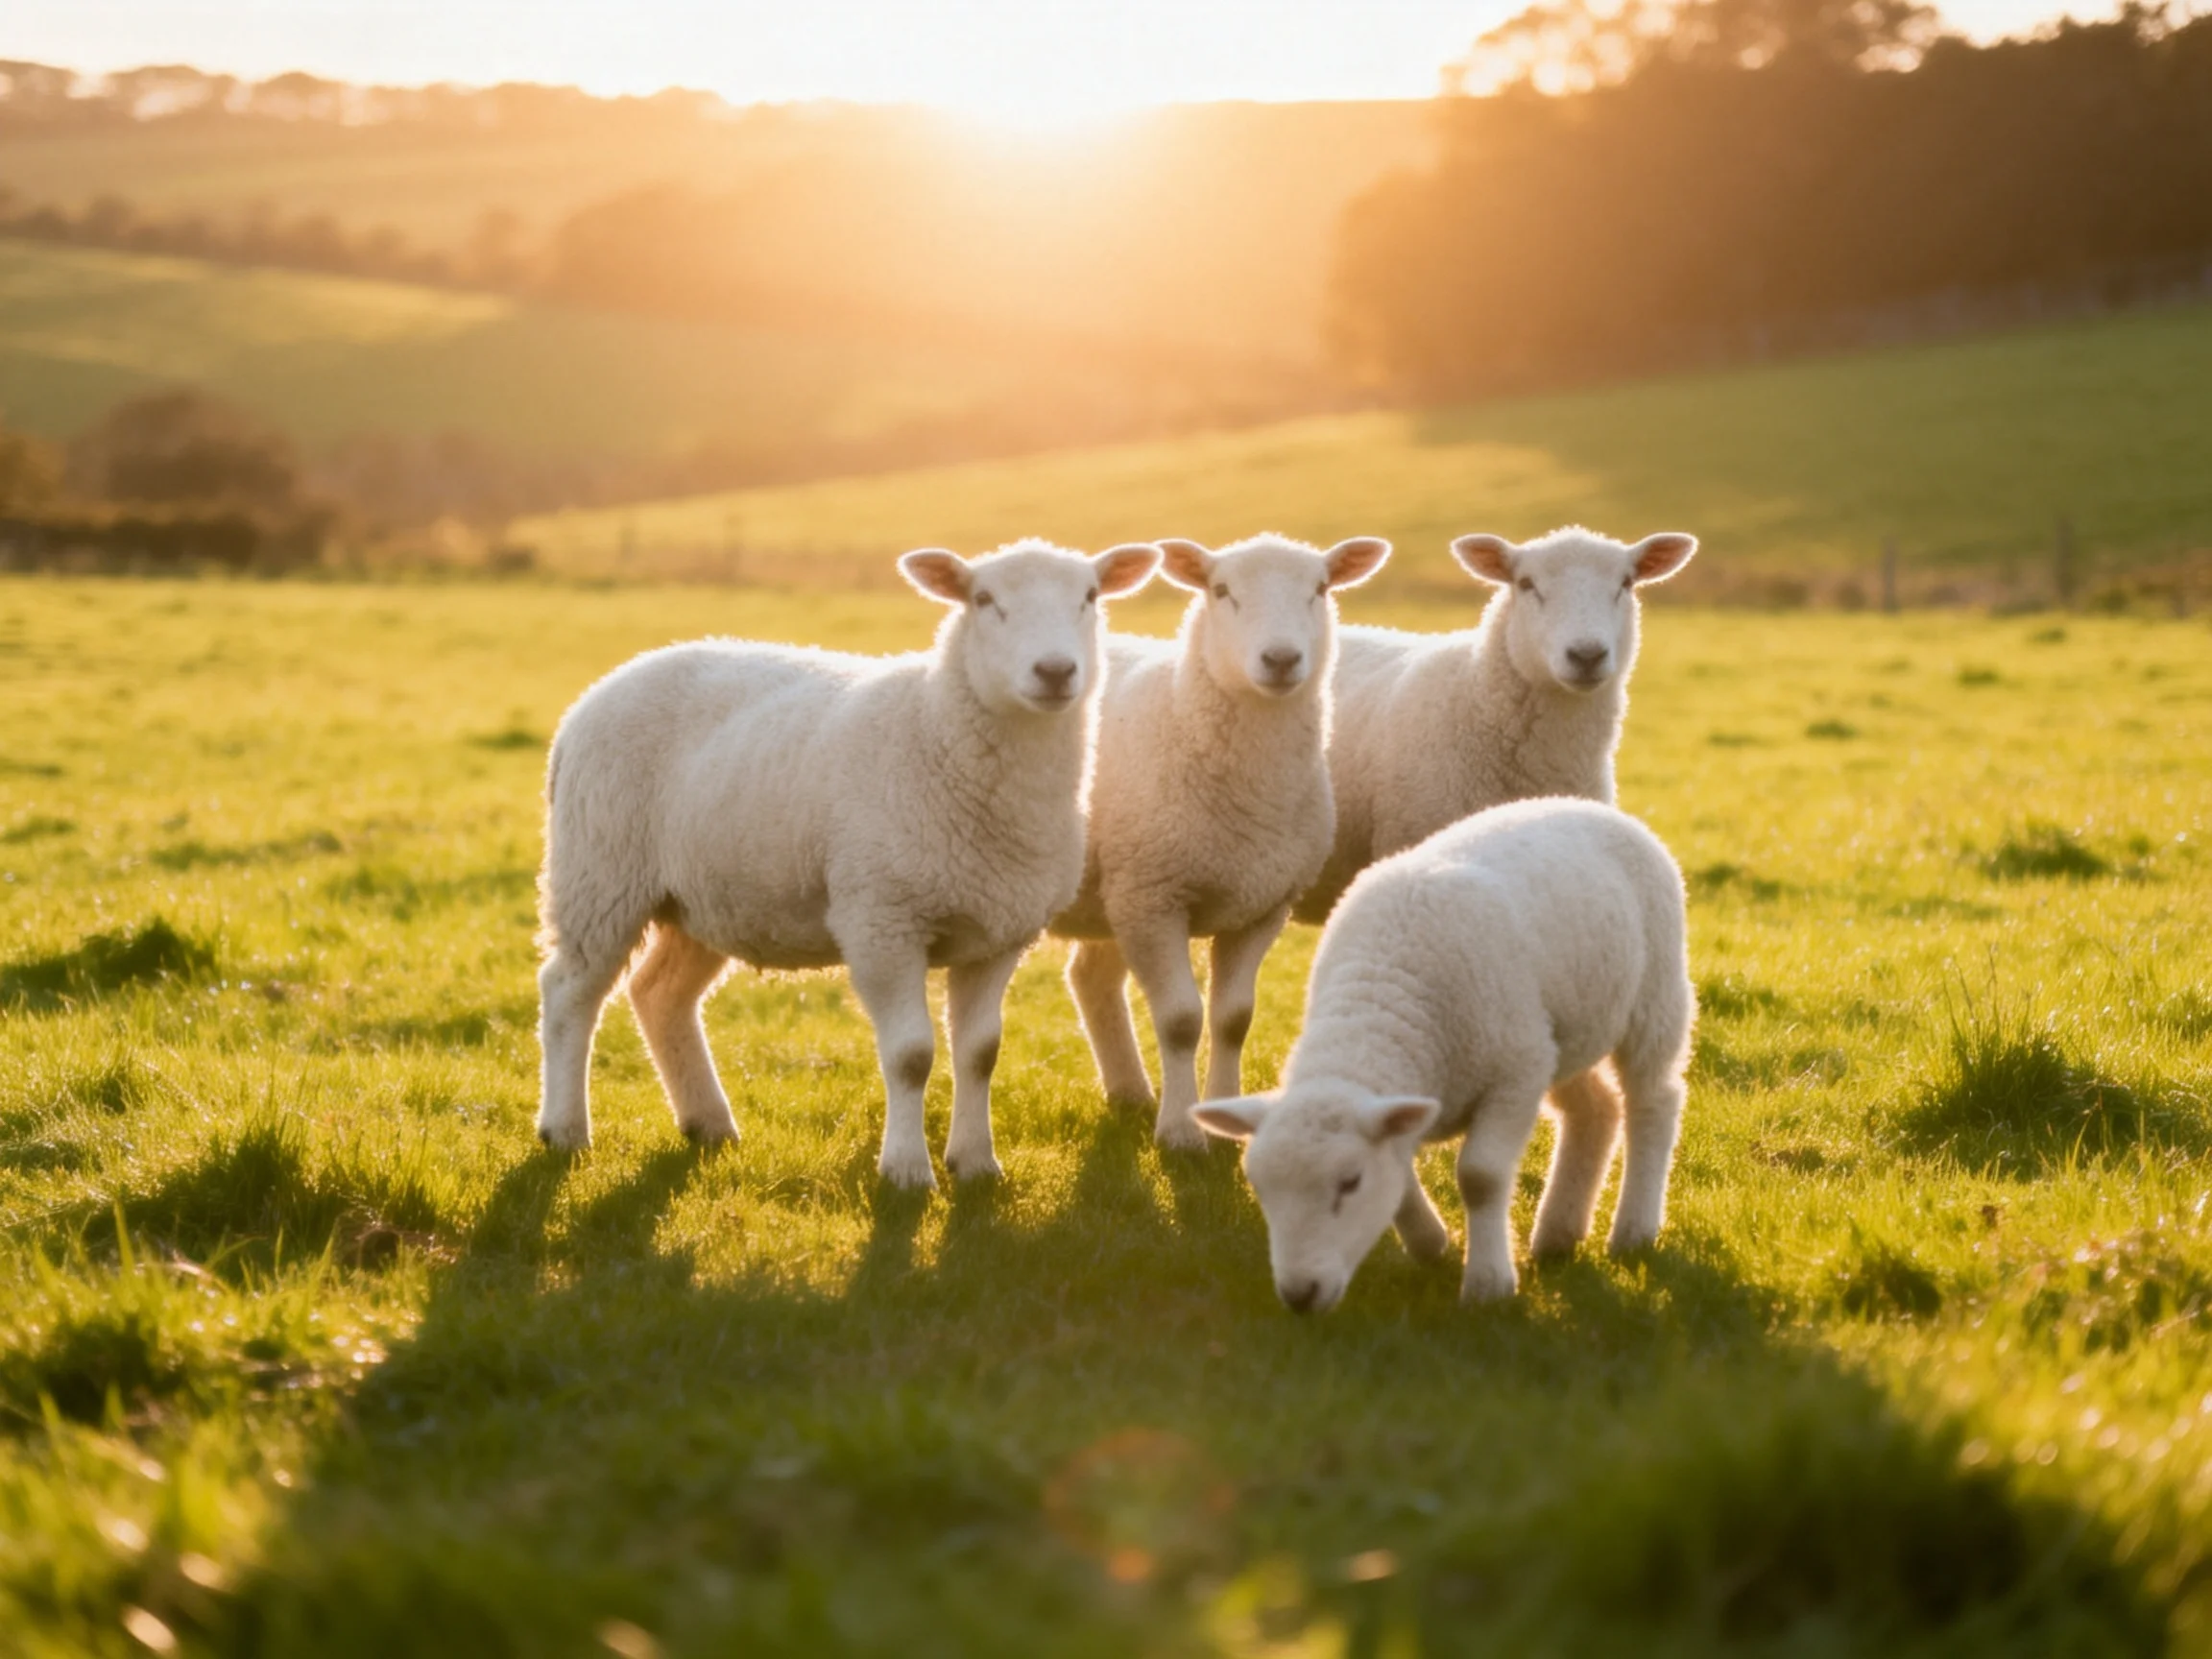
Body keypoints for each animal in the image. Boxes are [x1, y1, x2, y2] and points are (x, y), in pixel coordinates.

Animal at [534, 537, 1163, 1189]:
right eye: (984, 599)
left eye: (1090, 596)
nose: (1055, 671)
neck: (936, 728)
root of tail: (592, 698)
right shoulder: (881, 920)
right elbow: (911, 1056)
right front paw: (907, 1172)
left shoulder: (998, 931)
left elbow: (980, 1053)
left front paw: (975, 1164)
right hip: (599, 873)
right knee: (569, 993)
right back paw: (565, 1129)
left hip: (702, 896)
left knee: (660, 994)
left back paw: (708, 1122)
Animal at [1051, 532, 1391, 1150]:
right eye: (1222, 590)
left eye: (1320, 588)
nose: (1281, 660)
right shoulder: (1153, 898)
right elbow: (1181, 1020)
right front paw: (1182, 1136)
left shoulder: (1263, 904)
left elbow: (1234, 1018)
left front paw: (1225, 1121)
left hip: (1108, 892)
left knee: (1090, 978)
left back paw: (1130, 1094)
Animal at [1196, 797, 1694, 1312]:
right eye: (1260, 1188)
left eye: (1350, 1182)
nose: (1299, 1295)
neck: (1379, 1002)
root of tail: (1585, 805)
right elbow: (1400, 1179)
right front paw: (1431, 1244)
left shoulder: (1515, 1073)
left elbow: (1481, 1177)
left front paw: (1488, 1283)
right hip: (1567, 1030)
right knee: (1596, 1110)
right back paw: (1558, 1234)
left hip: (1654, 998)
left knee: (1654, 1102)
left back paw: (1634, 1229)